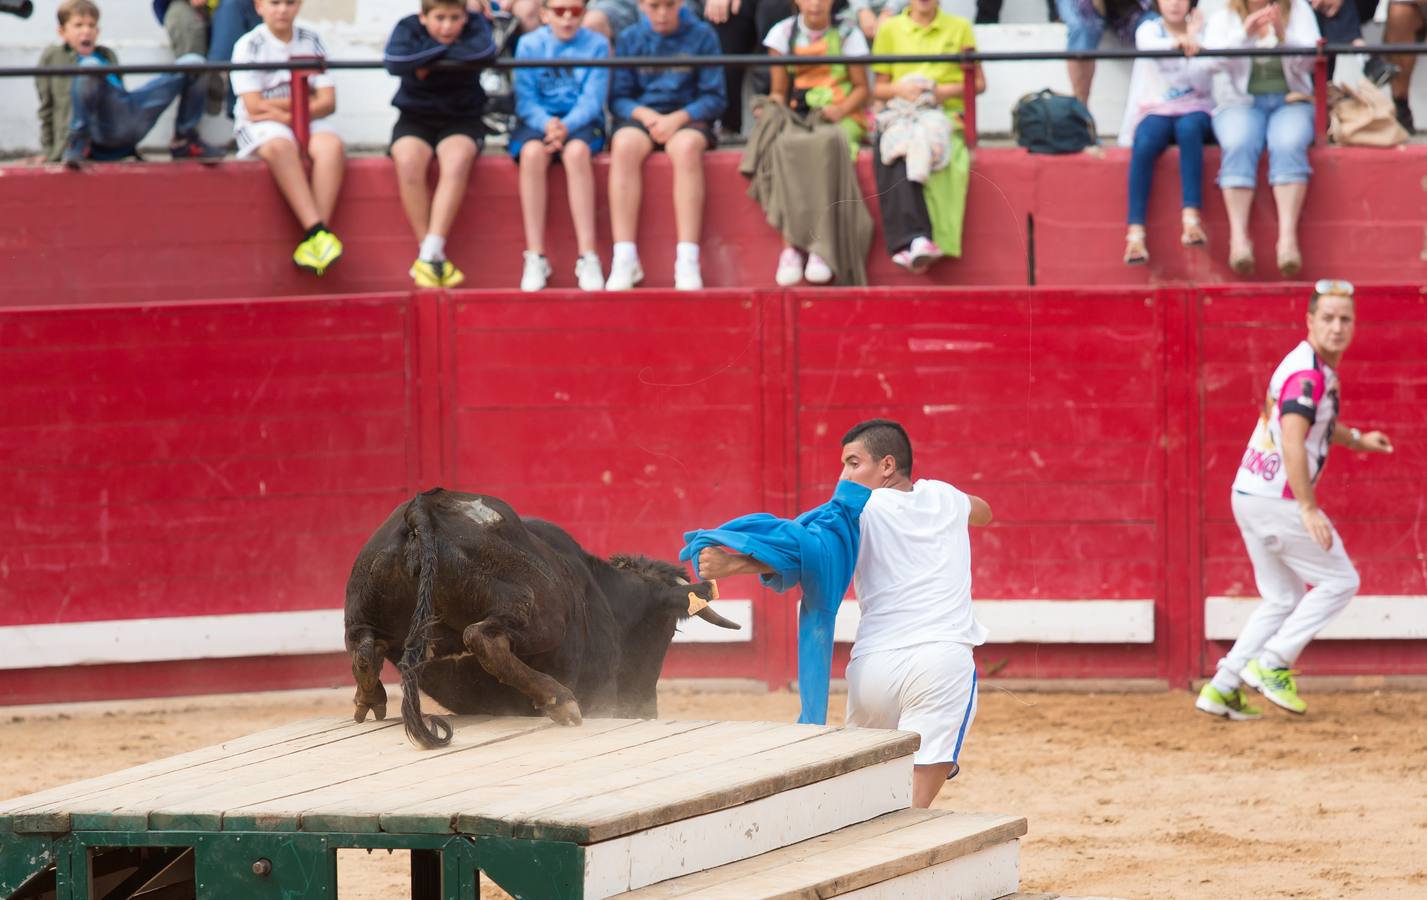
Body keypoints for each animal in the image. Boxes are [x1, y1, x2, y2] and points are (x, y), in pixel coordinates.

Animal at [342, 490, 736, 747]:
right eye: (669, 631)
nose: (646, 710)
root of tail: (423, 510)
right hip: (541, 614)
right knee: (484, 638)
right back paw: (560, 702)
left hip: (361, 605)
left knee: (364, 647)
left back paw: (369, 700)